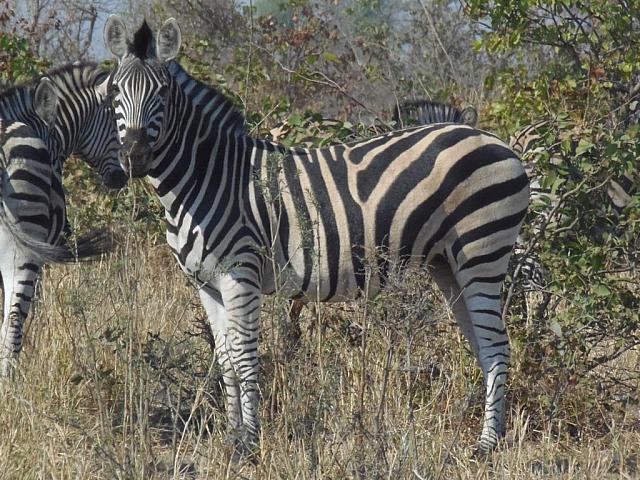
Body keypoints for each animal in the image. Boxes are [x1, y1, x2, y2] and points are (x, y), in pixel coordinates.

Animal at [102, 16, 528, 456]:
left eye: (163, 93)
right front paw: (233, 438)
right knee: (481, 344)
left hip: (481, 251)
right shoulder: (206, 284)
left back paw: (487, 445)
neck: (208, 177)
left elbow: (244, 357)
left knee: (497, 346)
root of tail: (490, 138)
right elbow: (225, 361)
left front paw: (250, 443)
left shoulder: (241, 272)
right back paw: (490, 437)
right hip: (448, 264)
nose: (134, 157)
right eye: (114, 91)